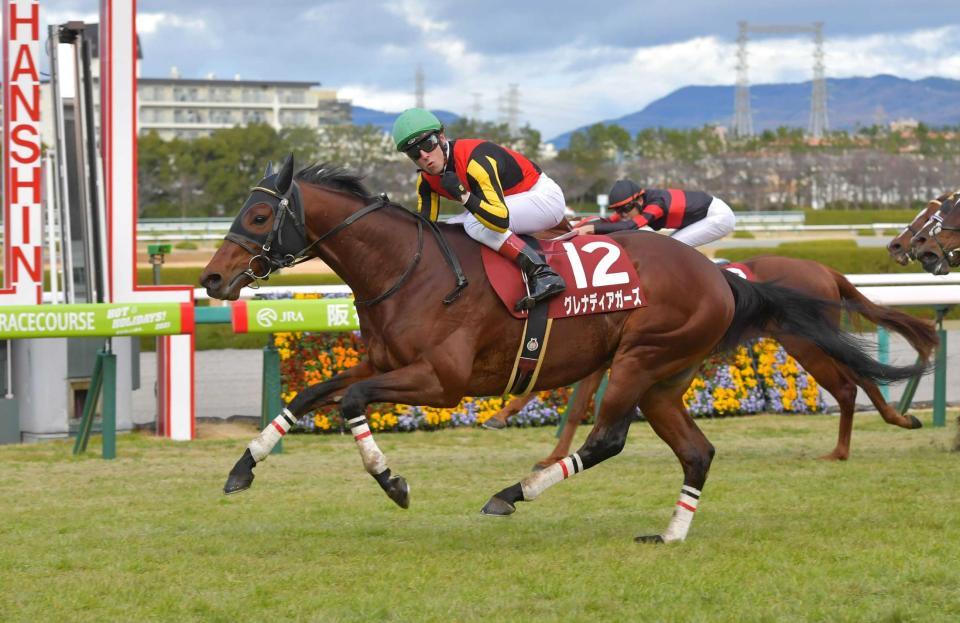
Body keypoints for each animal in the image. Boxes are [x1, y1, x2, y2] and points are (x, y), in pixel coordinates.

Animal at [484, 255, 932, 468]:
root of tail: (823, 268)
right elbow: (573, 401)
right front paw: (533, 438)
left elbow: (568, 399)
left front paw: (505, 417)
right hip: (811, 339)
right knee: (859, 374)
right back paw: (893, 420)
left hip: (804, 341)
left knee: (846, 383)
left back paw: (846, 447)